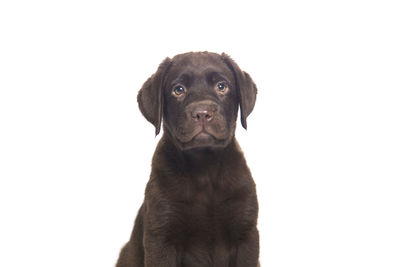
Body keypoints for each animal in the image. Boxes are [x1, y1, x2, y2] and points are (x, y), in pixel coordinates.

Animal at [115, 51, 260, 266]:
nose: (202, 113)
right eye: (178, 90)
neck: (205, 170)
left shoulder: (246, 233)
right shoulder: (161, 237)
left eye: (221, 86)